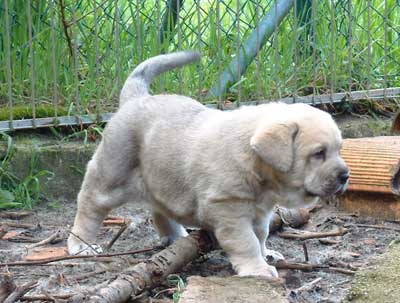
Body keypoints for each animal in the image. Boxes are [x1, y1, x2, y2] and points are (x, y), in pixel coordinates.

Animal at [67, 51, 348, 280]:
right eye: (319, 153)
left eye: (339, 149)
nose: (345, 175)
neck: (255, 161)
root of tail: (135, 98)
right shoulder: (229, 209)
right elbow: (246, 241)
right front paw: (257, 269)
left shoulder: (260, 211)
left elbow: (261, 235)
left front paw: (266, 254)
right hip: (112, 174)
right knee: (89, 204)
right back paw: (80, 245)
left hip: (161, 177)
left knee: (160, 208)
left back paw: (177, 238)